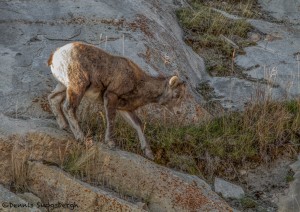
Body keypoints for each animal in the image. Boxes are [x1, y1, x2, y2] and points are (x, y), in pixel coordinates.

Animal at [47, 42, 185, 159]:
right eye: (176, 95)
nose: (179, 112)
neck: (139, 83)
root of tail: (55, 55)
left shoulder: (124, 109)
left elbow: (138, 124)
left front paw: (149, 154)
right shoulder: (111, 96)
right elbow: (111, 119)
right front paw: (111, 143)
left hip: (63, 86)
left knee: (53, 99)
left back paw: (64, 126)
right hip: (78, 86)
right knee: (69, 107)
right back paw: (82, 138)